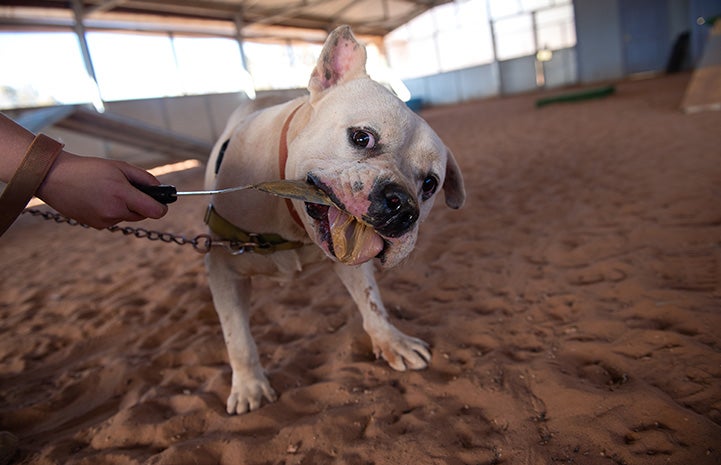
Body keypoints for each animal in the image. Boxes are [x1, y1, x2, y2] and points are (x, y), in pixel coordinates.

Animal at [202, 24, 464, 414]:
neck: (292, 222)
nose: (402, 206)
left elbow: (372, 301)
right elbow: (237, 335)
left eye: (430, 184)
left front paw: (391, 341)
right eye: (361, 137)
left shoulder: (353, 263)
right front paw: (249, 386)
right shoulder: (222, 266)